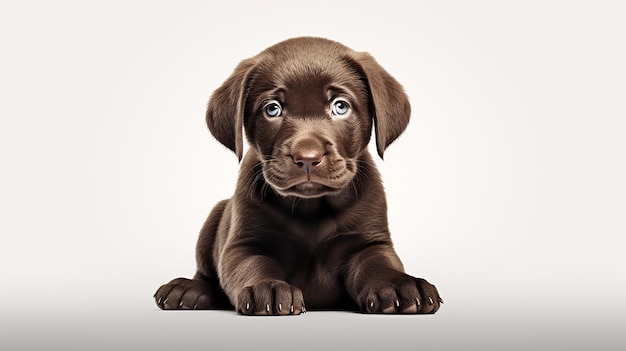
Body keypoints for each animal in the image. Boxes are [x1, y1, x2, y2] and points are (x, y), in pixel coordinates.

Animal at [154, 37, 442, 314]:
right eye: (272, 109)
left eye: (340, 107)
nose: (307, 158)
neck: (311, 208)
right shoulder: (243, 244)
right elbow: (253, 264)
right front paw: (267, 288)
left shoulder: (368, 242)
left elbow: (380, 264)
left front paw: (400, 285)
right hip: (216, 215)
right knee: (205, 273)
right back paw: (187, 290)